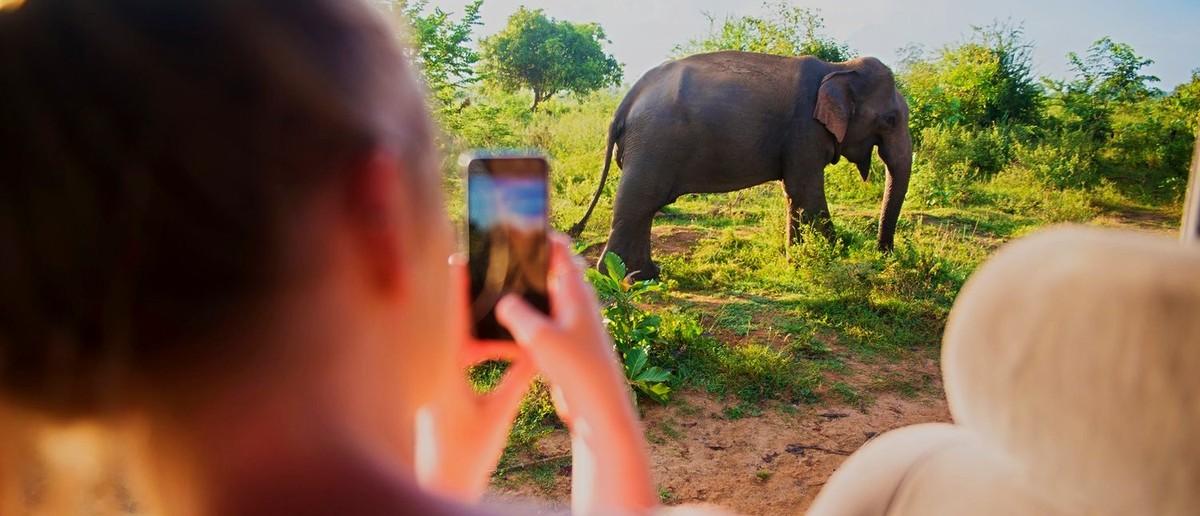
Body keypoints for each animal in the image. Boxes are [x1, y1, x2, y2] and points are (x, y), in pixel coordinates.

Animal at [568, 51, 912, 280]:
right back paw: (618, 277)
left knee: (645, 206)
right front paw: (836, 262)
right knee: (639, 199)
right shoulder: (805, 129)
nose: (884, 254)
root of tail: (625, 101)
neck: (838, 69)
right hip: (653, 141)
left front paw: (797, 262)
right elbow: (807, 193)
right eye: (891, 119)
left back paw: (646, 276)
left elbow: (796, 195)